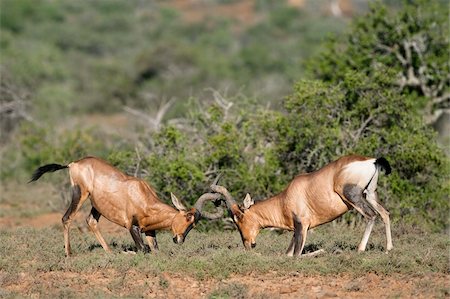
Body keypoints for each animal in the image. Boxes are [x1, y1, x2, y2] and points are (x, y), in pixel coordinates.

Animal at [28, 157, 221, 258]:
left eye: (194, 224)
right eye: (188, 217)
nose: (179, 239)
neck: (141, 193)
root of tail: (74, 163)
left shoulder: (149, 231)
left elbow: (154, 250)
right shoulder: (132, 226)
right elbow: (143, 250)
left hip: (97, 205)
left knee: (91, 221)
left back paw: (109, 252)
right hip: (80, 194)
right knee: (66, 218)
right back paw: (69, 254)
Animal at [211, 156, 390, 256]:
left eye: (238, 217)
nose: (248, 245)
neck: (286, 197)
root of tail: (371, 161)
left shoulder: (302, 225)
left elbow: (296, 256)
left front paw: (324, 251)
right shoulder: (297, 229)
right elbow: (288, 255)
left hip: (352, 195)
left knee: (371, 215)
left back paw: (360, 249)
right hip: (370, 193)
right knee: (385, 213)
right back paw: (389, 248)